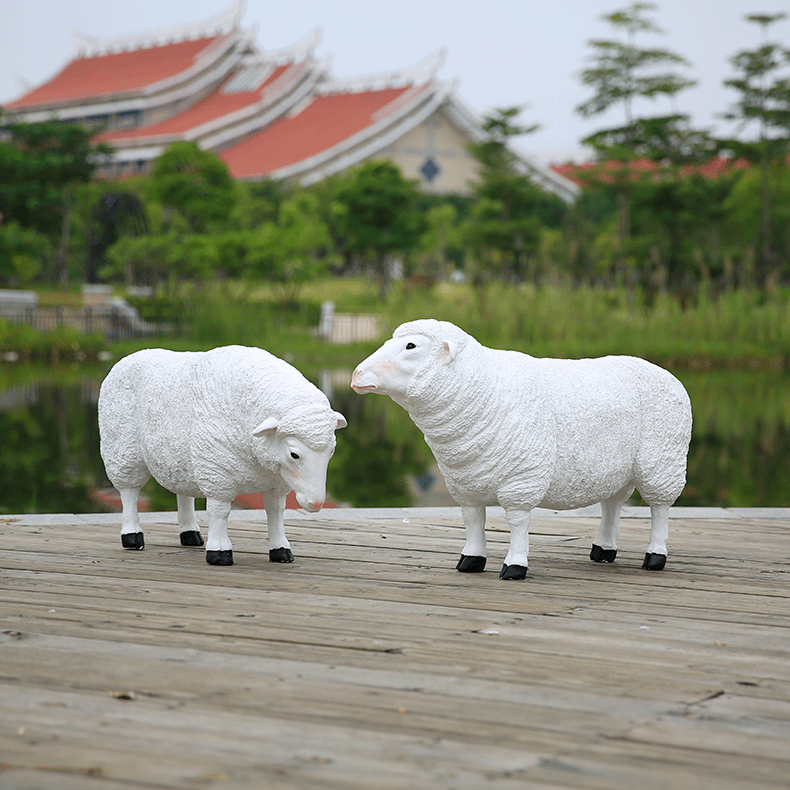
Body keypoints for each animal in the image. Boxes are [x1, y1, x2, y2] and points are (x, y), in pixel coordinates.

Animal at [98, 344, 346, 564]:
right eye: (294, 454)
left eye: (332, 450)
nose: (316, 503)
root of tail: (130, 356)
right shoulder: (217, 472)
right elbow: (220, 512)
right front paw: (219, 552)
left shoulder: (275, 481)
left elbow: (275, 511)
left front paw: (281, 550)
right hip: (122, 448)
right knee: (129, 492)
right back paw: (132, 537)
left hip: (182, 454)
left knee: (183, 491)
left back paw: (190, 534)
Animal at [352, 320, 692, 580]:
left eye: (411, 346)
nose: (356, 375)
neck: (485, 388)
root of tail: (666, 372)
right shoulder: (465, 481)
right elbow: (472, 520)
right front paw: (470, 560)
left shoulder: (521, 479)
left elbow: (517, 523)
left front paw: (514, 566)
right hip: (616, 467)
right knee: (613, 504)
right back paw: (603, 550)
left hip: (663, 460)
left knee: (660, 509)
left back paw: (654, 557)